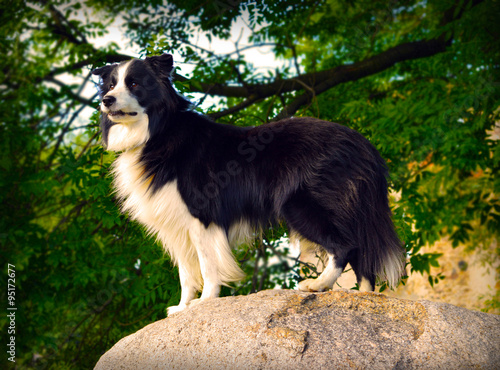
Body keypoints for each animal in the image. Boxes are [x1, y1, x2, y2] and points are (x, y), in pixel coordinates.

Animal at [93, 54, 406, 316]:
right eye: (111, 84)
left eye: (134, 84)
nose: (106, 100)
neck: (159, 131)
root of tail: (364, 145)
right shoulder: (176, 221)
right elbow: (186, 273)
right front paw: (182, 308)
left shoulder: (201, 215)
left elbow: (207, 265)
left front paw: (205, 301)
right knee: (363, 255)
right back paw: (365, 301)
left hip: (302, 205)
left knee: (347, 246)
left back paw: (317, 285)